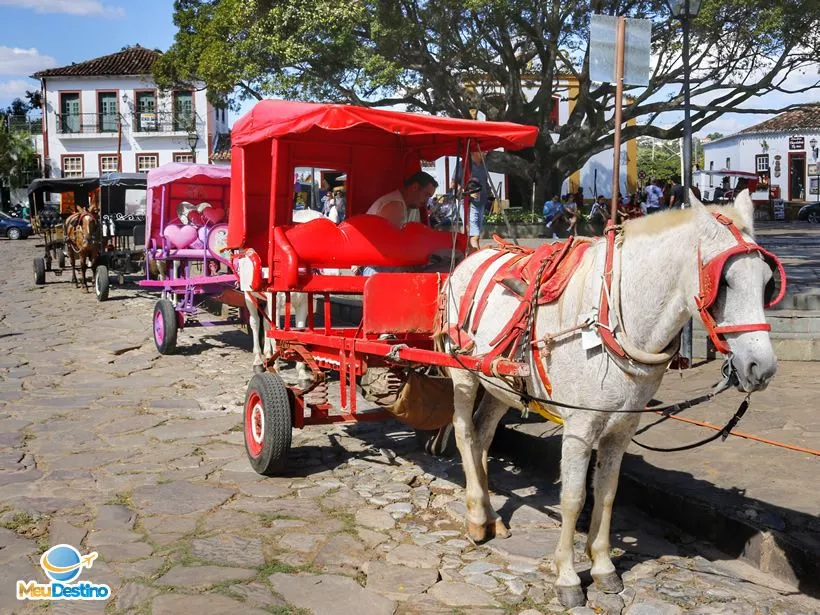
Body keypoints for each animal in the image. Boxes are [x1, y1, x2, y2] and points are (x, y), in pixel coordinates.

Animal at [442, 191, 780, 608]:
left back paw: (491, 514)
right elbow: (573, 498)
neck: (612, 323)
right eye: (725, 283)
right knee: (464, 434)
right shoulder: (579, 427)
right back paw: (476, 519)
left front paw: (603, 567)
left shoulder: (622, 427)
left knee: (484, 436)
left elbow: (606, 494)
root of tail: (472, 256)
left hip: (500, 384)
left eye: (767, 282)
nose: (761, 367)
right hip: (463, 372)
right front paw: (567, 576)